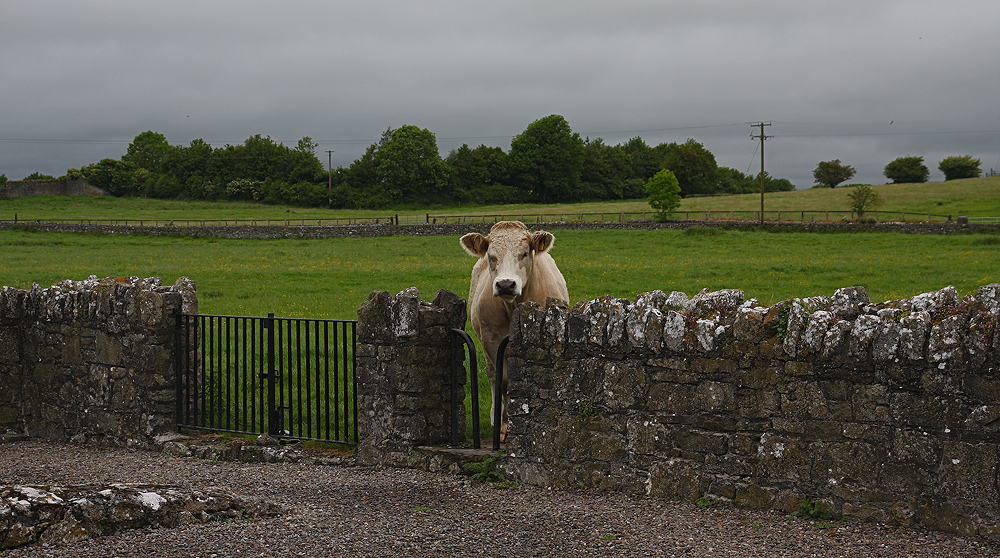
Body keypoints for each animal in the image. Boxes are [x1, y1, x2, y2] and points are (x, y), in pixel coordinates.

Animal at [460, 221, 572, 444]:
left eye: (524, 253)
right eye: (491, 256)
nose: (505, 284)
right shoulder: (491, 340)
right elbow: (503, 381)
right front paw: (504, 427)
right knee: (492, 374)